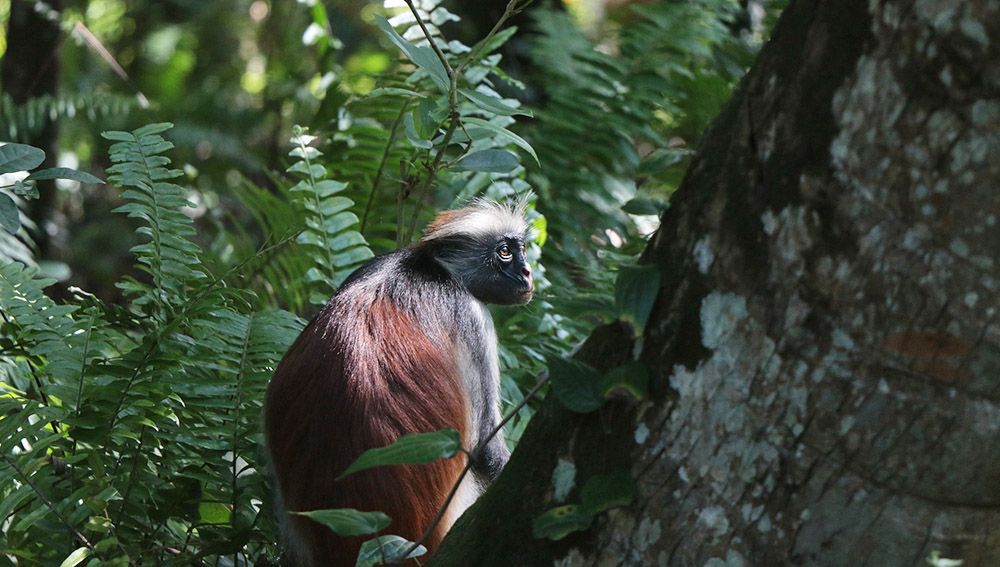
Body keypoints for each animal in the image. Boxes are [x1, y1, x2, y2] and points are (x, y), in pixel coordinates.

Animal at [262, 197, 536, 564]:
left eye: (521, 250)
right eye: (505, 252)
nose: (526, 271)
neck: (427, 269)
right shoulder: (471, 316)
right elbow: (485, 451)